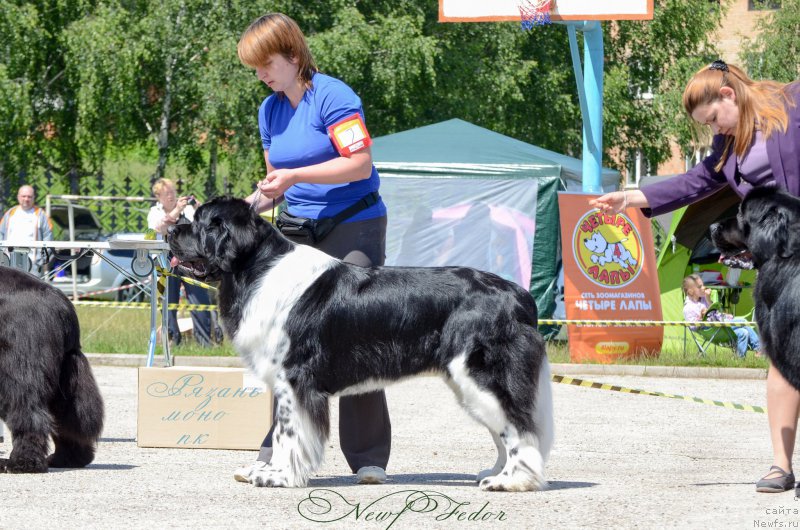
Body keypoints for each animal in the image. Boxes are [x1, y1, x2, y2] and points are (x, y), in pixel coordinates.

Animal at [0, 266, 104, 472]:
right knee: (65, 417)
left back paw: (22, 463)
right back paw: (69, 459)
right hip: (65, 373)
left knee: (29, 411)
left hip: (18, 365)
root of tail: (59, 300)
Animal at [167, 197, 556, 490]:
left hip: (483, 374)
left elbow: (289, 433)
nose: (169, 229)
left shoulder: (295, 379)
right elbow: (280, 433)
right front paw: (267, 470)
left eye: (200, 222)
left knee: (518, 426)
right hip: (469, 382)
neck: (257, 269)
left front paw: (280, 476)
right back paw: (496, 472)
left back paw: (512, 481)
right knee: (504, 428)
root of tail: (521, 296)